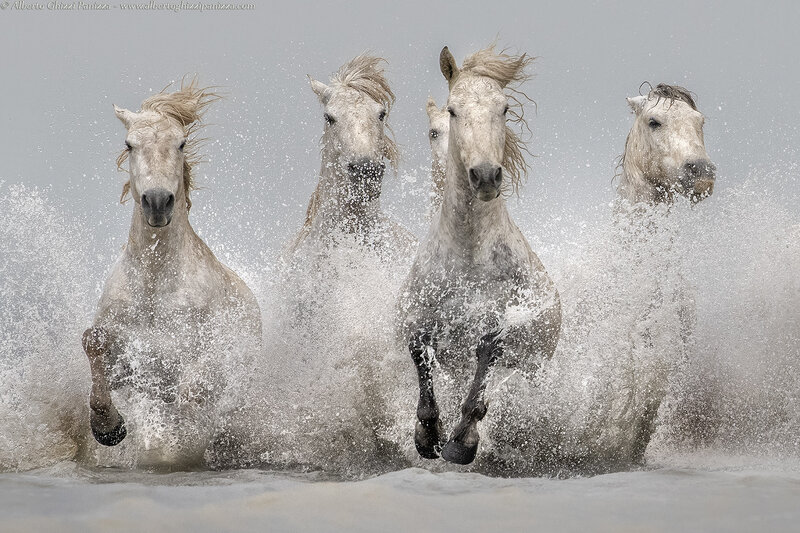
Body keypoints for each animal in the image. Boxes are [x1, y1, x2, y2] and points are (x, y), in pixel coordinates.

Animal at [82, 79, 262, 463]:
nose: (157, 202)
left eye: (181, 143)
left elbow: (193, 390)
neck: (154, 284)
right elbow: (93, 341)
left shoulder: (195, 358)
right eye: (129, 144)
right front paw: (108, 427)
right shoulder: (129, 359)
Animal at [397, 46, 562, 465]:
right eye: (453, 110)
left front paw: (460, 444)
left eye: (504, 108)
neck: (467, 256)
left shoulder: (498, 327)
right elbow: (422, 365)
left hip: (534, 368)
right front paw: (427, 438)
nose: (486, 176)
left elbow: (484, 369)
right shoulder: (417, 320)